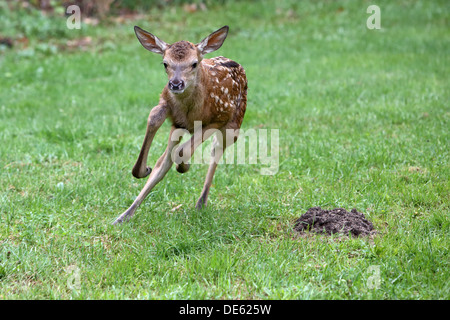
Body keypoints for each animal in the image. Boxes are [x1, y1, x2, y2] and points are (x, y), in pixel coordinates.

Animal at [111, 25, 246, 225]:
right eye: (165, 63)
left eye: (194, 63)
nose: (175, 84)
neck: (189, 108)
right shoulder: (169, 108)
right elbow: (153, 118)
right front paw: (143, 170)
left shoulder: (222, 114)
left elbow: (184, 151)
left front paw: (184, 166)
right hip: (178, 127)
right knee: (164, 160)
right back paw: (124, 215)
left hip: (235, 122)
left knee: (215, 150)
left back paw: (201, 202)